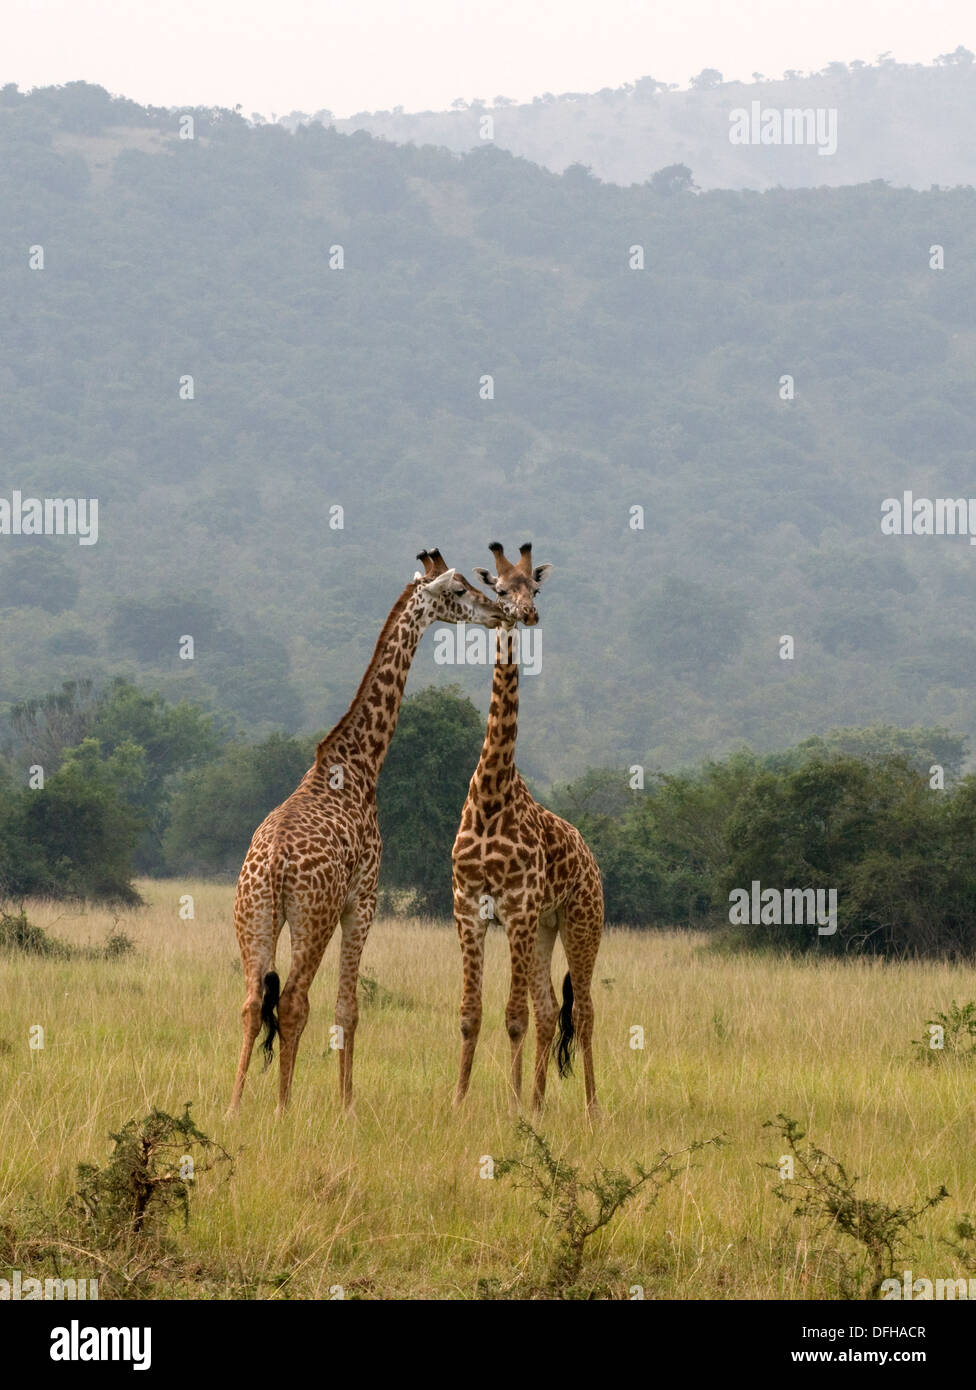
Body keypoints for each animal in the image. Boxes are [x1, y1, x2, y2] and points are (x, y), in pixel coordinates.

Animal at [228, 548, 511, 1116]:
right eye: (460, 591)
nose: (497, 611)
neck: (358, 762)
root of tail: (273, 867)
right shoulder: (364, 898)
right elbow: (348, 1007)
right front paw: (348, 1106)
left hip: (253, 916)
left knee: (250, 1003)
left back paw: (233, 1105)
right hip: (311, 916)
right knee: (293, 1000)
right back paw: (282, 1107)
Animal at [452, 542, 604, 1115]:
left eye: (534, 586)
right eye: (498, 586)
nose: (526, 613)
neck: (492, 797)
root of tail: (589, 855)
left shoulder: (514, 909)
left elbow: (511, 1017)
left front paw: (510, 1104)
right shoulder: (469, 909)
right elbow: (472, 1015)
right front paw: (459, 1102)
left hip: (582, 922)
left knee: (582, 1011)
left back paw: (590, 1107)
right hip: (545, 927)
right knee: (547, 1008)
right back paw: (539, 1102)